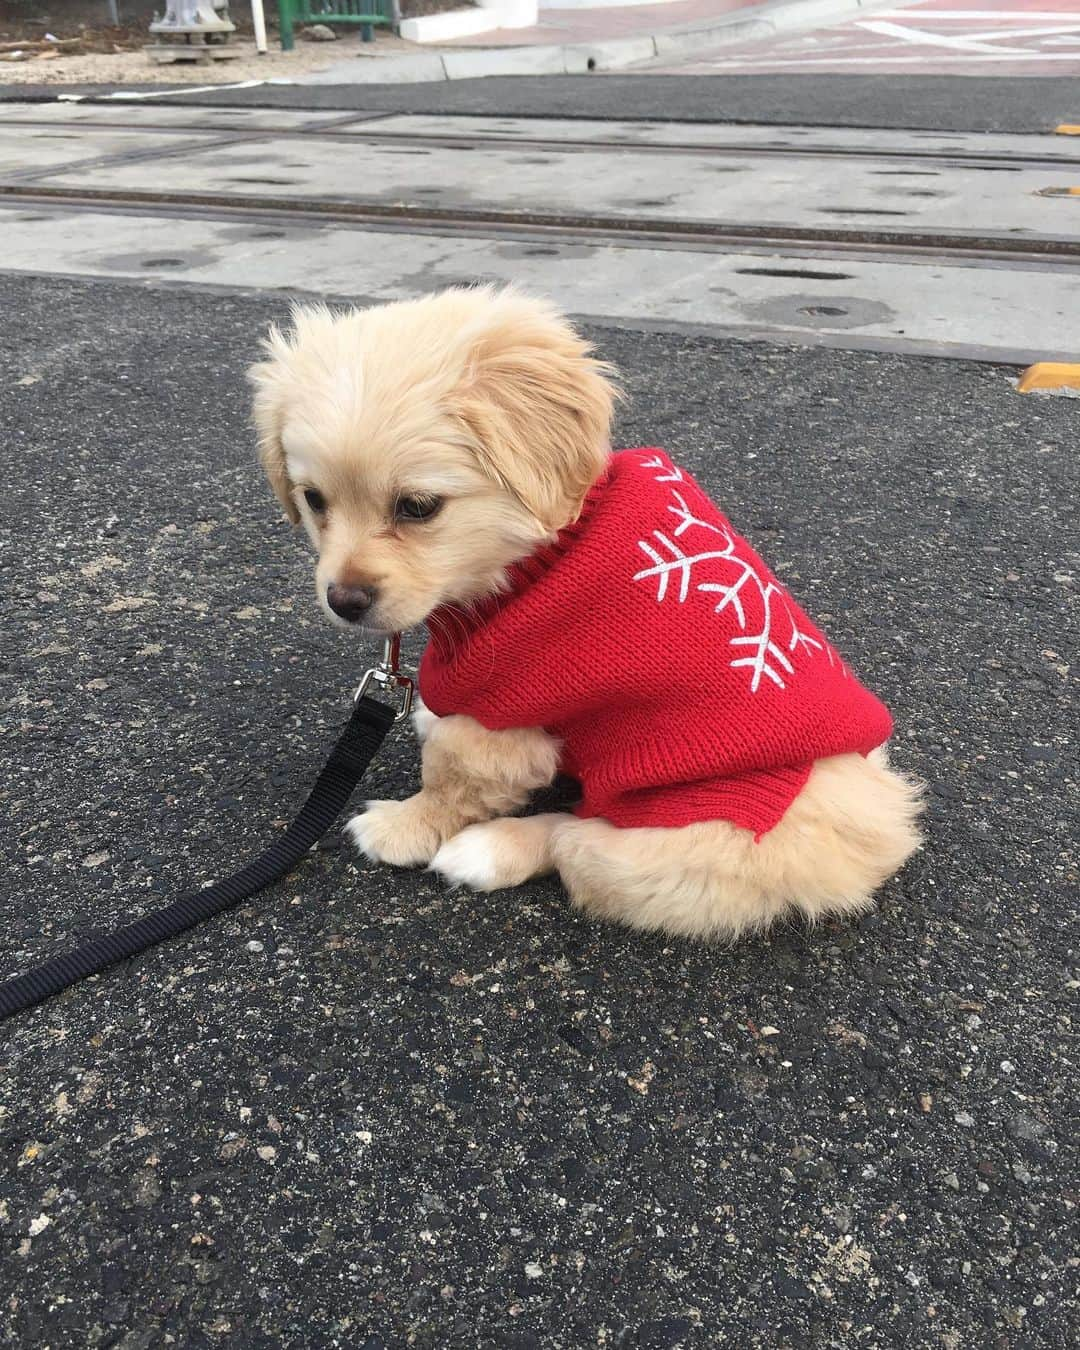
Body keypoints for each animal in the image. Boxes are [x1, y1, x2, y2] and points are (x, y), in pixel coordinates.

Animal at [248, 284, 923, 939]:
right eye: (313, 501)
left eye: (417, 507)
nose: (345, 601)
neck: (537, 552)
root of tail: (882, 830)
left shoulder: (502, 715)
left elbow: (451, 779)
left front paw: (406, 827)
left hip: (672, 844)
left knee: (573, 837)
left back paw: (486, 851)